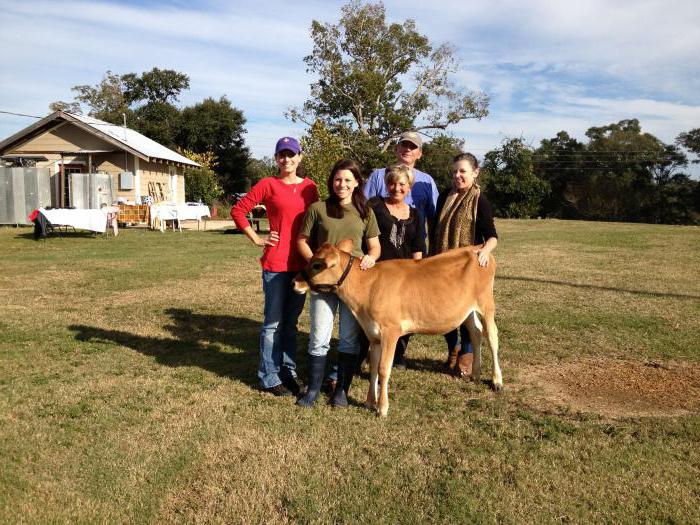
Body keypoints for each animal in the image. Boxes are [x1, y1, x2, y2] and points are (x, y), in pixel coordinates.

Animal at [296, 239, 504, 416]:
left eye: (317, 265)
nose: (294, 282)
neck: (367, 288)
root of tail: (477, 247)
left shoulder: (391, 331)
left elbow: (383, 369)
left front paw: (382, 408)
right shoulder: (373, 334)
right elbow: (374, 368)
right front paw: (370, 401)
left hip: (486, 304)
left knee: (492, 337)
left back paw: (497, 381)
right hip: (467, 310)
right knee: (476, 333)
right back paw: (476, 374)